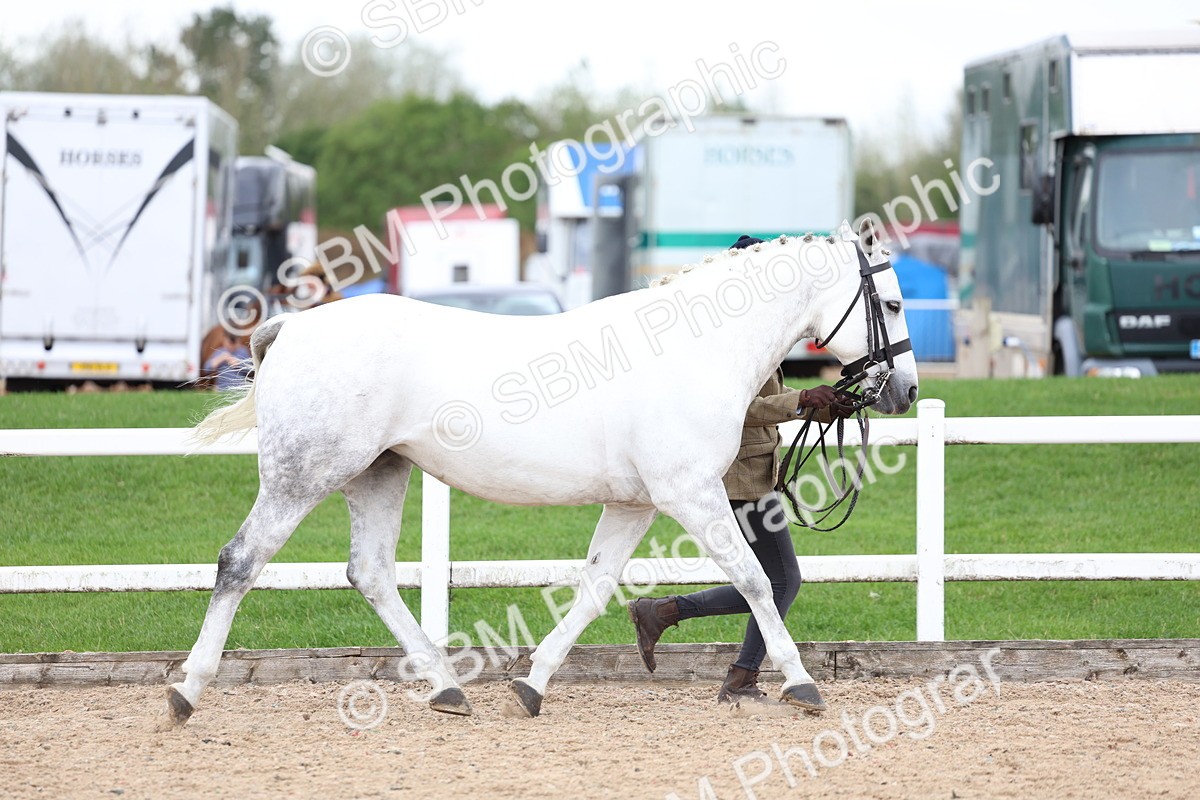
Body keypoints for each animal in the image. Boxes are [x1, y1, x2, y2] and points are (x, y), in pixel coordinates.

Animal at [159, 221, 917, 727]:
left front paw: (533, 685)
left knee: (369, 573)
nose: (905, 390)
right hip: (304, 475)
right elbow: (758, 583)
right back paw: (186, 691)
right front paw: (802, 684)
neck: (693, 348)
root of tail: (290, 328)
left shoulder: (635, 505)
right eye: (895, 304)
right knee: (240, 561)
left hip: (378, 474)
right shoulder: (692, 496)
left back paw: (447, 690)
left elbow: (594, 591)